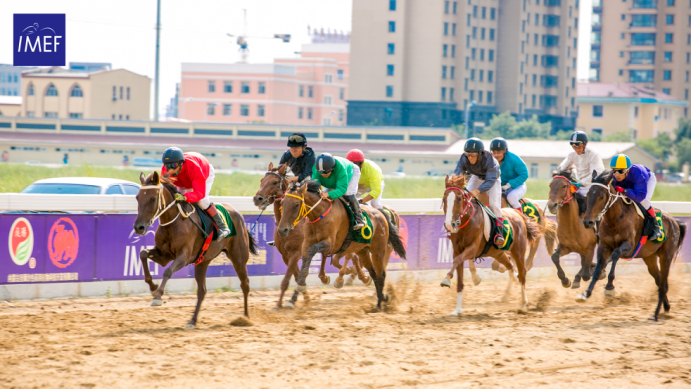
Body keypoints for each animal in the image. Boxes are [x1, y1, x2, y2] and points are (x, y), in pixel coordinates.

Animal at [132, 171, 256, 326]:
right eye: (137, 198)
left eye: (153, 199)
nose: (139, 227)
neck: (173, 222)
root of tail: (239, 215)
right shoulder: (164, 255)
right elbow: (143, 253)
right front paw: (153, 287)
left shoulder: (184, 256)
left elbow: (167, 272)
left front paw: (158, 297)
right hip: (202, 261)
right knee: (202, 291)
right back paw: (193, 320)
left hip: (238, 258)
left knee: (245, 284)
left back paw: (245, 317)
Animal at [276, 179, 406, 310]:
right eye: (282, 202)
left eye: (296, 204)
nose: (282, 230)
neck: (319, 215)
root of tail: (380, 213)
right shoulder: (305, 243)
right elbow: (304, 264)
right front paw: (296, 292)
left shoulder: (330, 244)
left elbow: (313, 251)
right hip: (362, 250)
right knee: (373, 273)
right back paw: (381, 298)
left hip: (378, 250)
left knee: (381, 274)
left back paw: (379, 304)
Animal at [440, 174, 544, 314]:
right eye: (444, 198)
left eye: (459, 198)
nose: (449, 225)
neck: (467, 221)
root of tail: (519, 215)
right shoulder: (457, 250)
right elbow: (459, 274)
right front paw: (457, 310)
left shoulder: (473, 249)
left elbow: (457, 261)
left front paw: (446, 279)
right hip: (498, 253)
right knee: (510, 266)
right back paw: (513, 280)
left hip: (518, 251)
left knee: (522, 274)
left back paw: (522, 304)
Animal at [576, 170, 684, 322]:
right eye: (588, 194)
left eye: (602, 196)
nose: (588, 222)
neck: (615, 218)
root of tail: (674, 221)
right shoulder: (603, 246)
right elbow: (598, 269)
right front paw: (585, 294)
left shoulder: (628, 246)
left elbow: (615, 254)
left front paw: (609, 287)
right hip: (650, 258)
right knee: (659, 281)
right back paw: (666, 307)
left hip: (666, 257)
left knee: (663, 285)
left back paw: (656, 315)